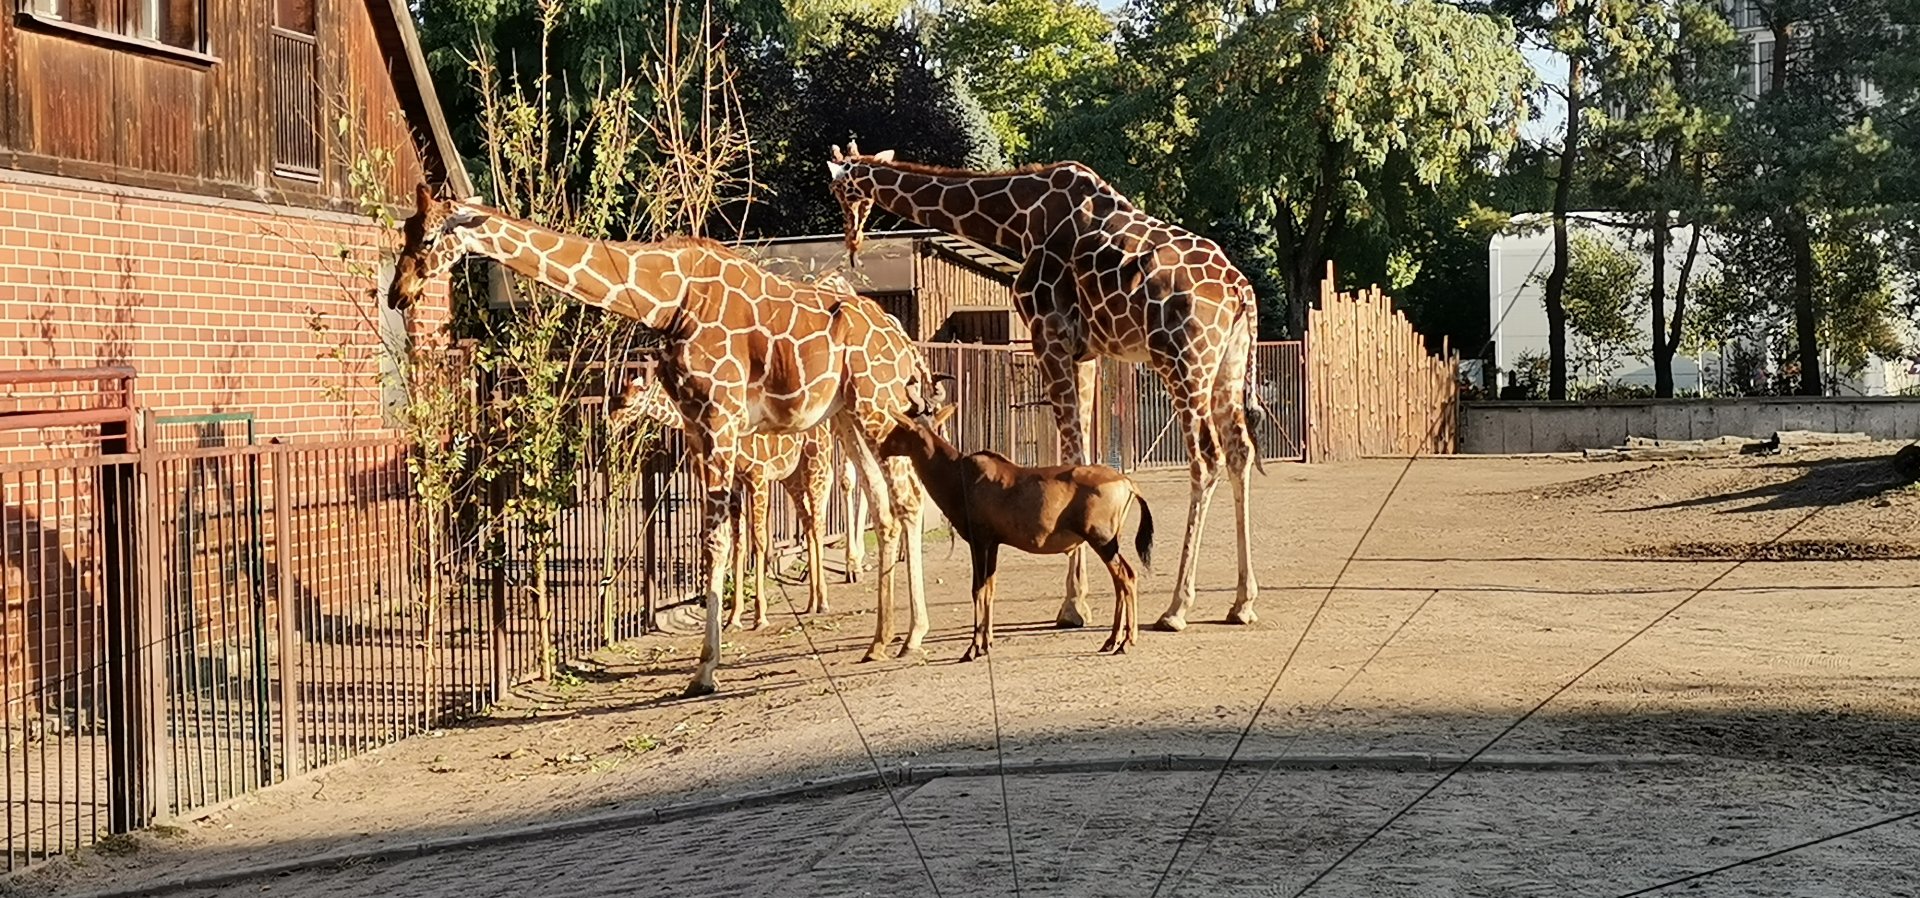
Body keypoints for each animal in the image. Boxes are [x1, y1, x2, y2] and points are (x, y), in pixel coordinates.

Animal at [607, 372, 833, 626]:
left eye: (627, 403)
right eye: (614, 399)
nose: (610, 425)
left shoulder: (758, 476)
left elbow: (759, 541)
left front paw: (760, 615)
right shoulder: (735, 482)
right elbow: (739, 544)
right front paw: (734, 616)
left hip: (816, 462)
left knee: (818, 524)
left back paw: (823, 601)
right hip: (791, 476)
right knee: (808, 524)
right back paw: (811, 601)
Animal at [827, 145, 1266, 633]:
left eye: (840, 189)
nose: (852, 241)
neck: (1019, 218)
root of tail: (1240, 290)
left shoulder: (1048, 335)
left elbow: (1070, 453)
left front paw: (1073, 605)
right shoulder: (1086, 352)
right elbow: (1081, 452)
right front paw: (1078, 598)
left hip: (1184, 362)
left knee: (1206, 459)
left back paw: (1176, 608)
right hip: (1226, 365)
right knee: (1240, 450)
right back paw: (1242, 602)